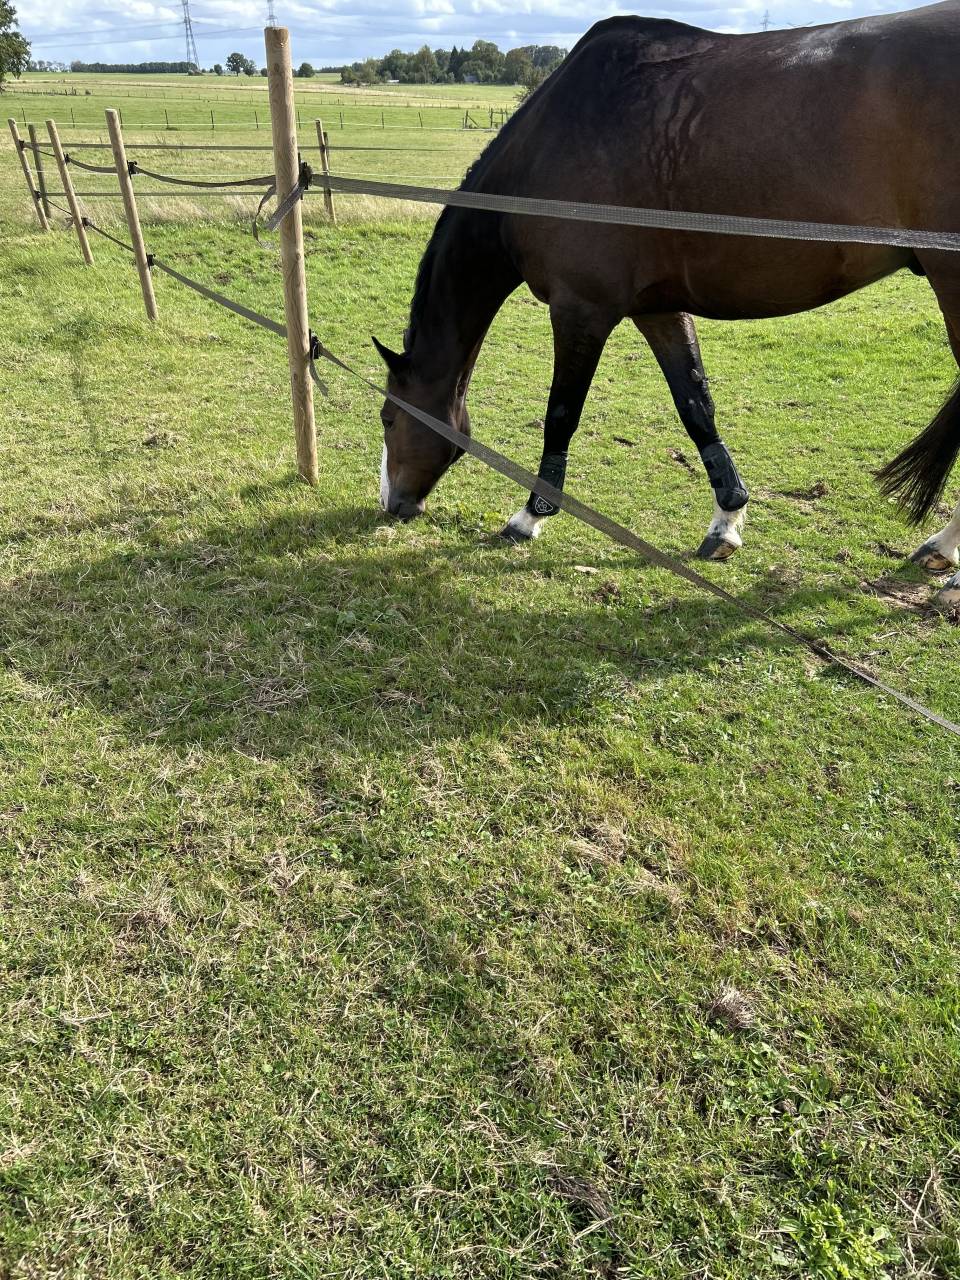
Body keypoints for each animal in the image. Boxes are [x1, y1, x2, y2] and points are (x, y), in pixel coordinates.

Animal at [373, 3, 960, 606]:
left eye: (389, 418)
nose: (392, 505)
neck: (547, 149)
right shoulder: (656, 309)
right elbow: (696, 406)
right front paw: (726, 521)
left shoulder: (581, 310)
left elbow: (561, 415)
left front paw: (529, 516)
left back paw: (945, 555)